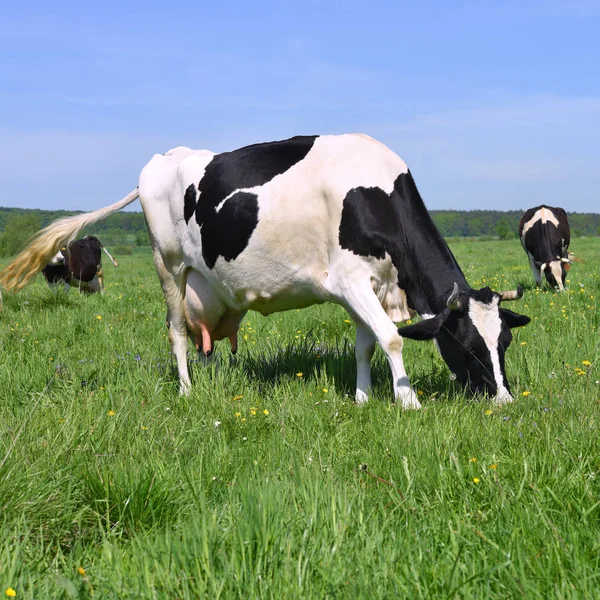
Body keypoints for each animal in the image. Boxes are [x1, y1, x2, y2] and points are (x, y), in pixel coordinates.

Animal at [2, 136, 532, 408]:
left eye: (505, 342)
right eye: (468, 345)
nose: (505, 400)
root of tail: (162, 158)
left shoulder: (364, 287)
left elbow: (366, 344)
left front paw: (362, 399)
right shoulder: (349, 281)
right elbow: (391, 339)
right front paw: (409, 404)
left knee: (202, 338)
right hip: (167, 266)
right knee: (176, 333)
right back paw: (187, 390)